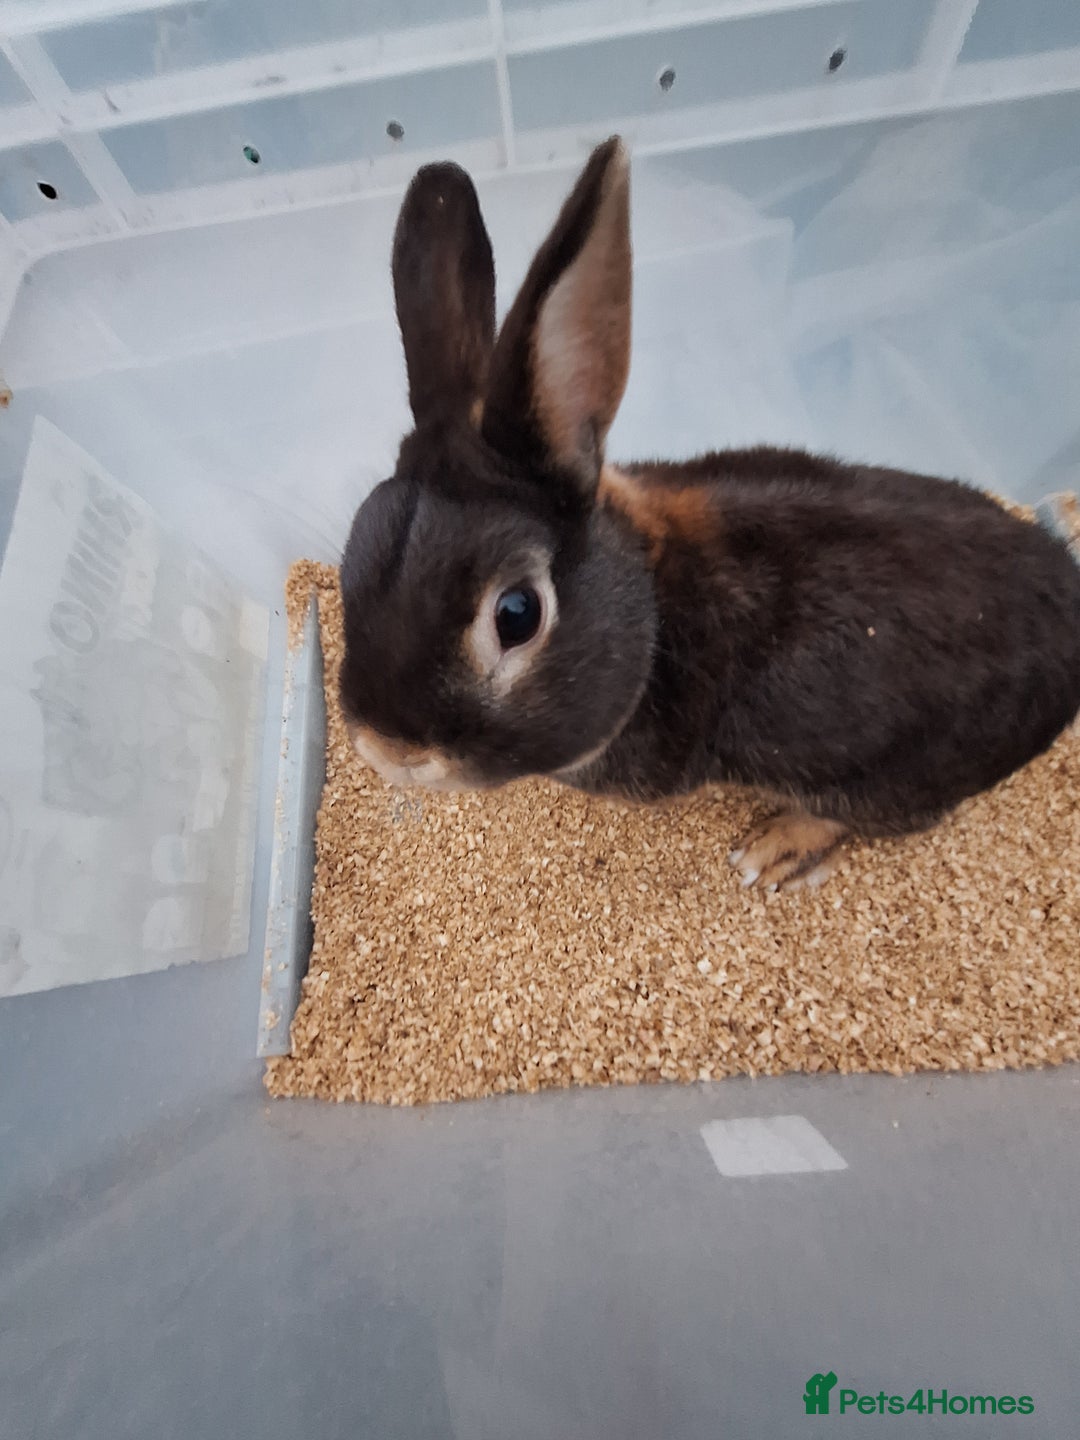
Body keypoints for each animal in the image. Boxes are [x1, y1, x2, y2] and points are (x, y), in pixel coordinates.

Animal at [338, 136, 1080, 891]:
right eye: (352, 558)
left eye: (517, 614)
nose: (389, 750)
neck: (653, 598)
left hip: (889, 779)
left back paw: (775, 851)